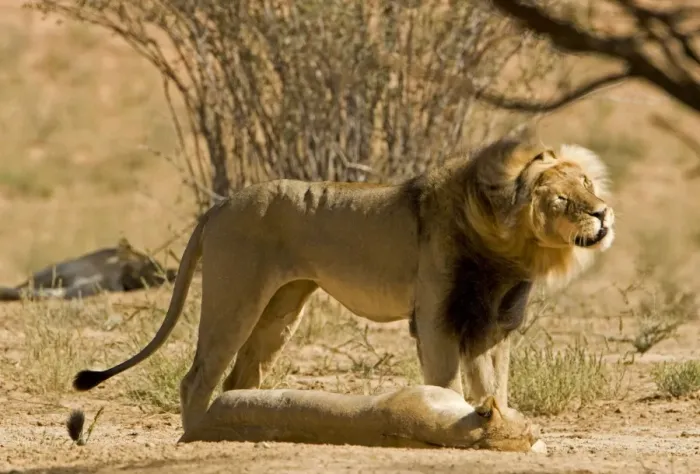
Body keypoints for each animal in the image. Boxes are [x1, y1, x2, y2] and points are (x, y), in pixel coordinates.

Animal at [72, 138, 615, 433]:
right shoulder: (436, 318)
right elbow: (446, 383)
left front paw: (499, 427)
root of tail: (220, 204)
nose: (603, 213)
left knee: (238, 378)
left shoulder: (492, 324)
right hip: (235, 298)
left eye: (588, 183)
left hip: (281, 310)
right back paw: (200, 437)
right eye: (562, 199)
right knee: (197, 378)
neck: (509, 246)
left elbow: (494, 385)